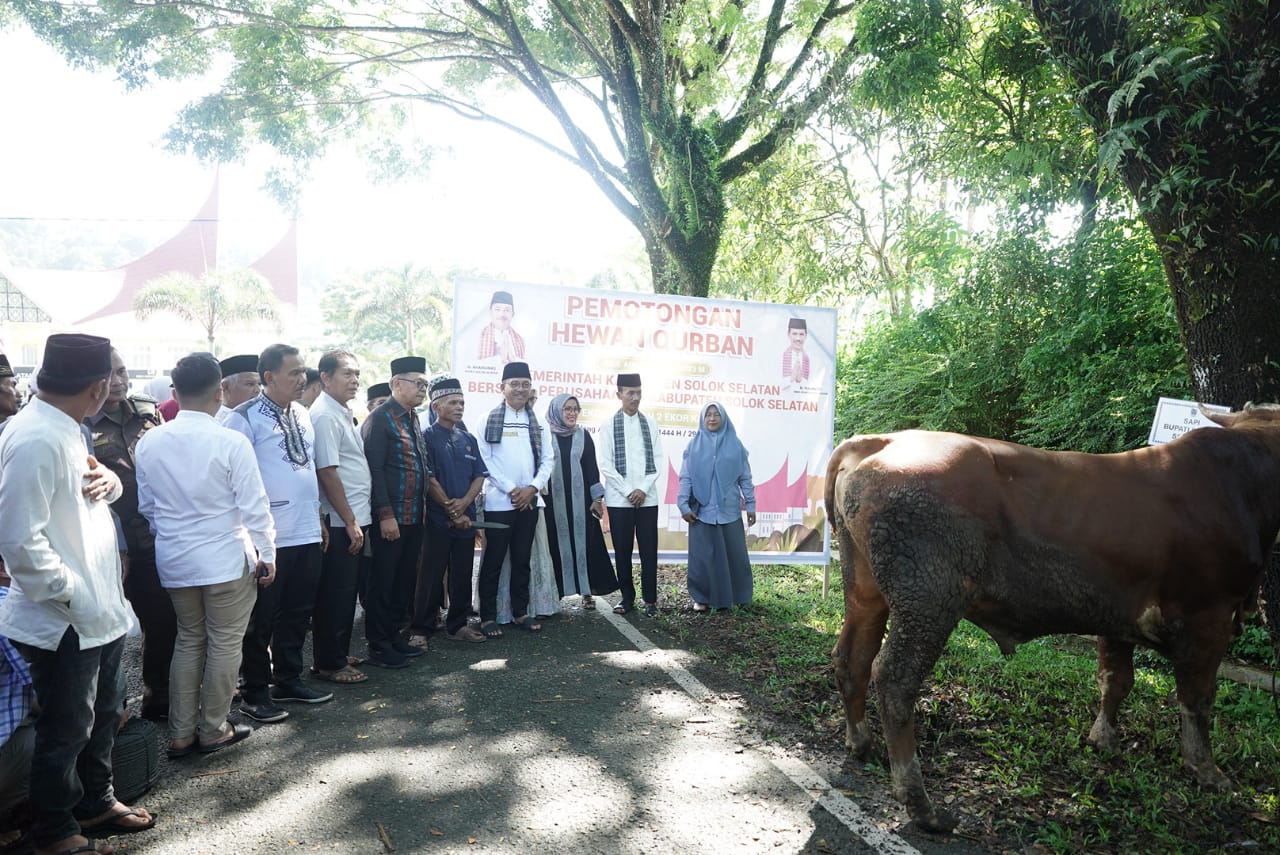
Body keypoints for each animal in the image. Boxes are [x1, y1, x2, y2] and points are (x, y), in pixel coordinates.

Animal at [824, 404, 1280, 829]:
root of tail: (881, 440)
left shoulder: (1117, 613)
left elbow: (1116, 679)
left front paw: (1103, 738)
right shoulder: (1210, 616)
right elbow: (1197, 699)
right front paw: (1206, 770)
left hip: (866, 588)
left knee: (853, 656)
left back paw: (859, 742)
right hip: (929, 597)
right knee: (894, 677)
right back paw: (920, 804)